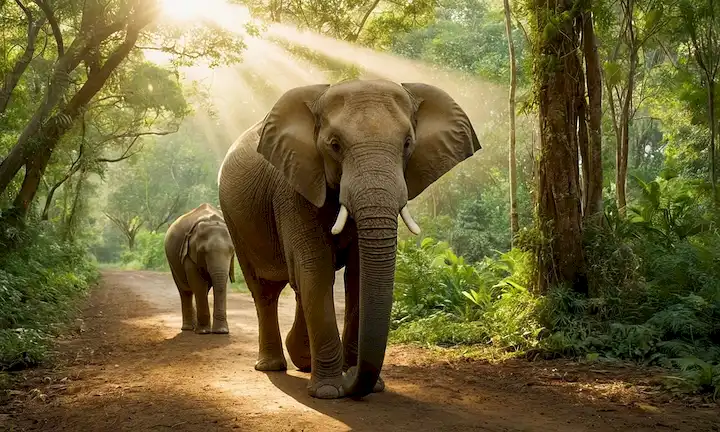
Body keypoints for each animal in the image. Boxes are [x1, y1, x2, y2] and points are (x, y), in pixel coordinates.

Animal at [164, 203, 236, 334]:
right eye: (203, 251)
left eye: (232, 250)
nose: (223, 331)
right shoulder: (188, 254)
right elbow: (198, 284)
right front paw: (203, 331)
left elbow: (218, 284)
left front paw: (221, 332)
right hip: (172, 262)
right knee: (185, 290)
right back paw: (188, 328)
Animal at [218, 79, 479, 399]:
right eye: (334, 145)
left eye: (407, 143)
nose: (352, 375)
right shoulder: (293, 187)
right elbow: (316, 269)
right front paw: (330, 391)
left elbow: (356, 274)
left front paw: (368, 385)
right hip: (233, 220)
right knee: (265, 290)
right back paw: (272, 366)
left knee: (296, 286)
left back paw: (304, 362)